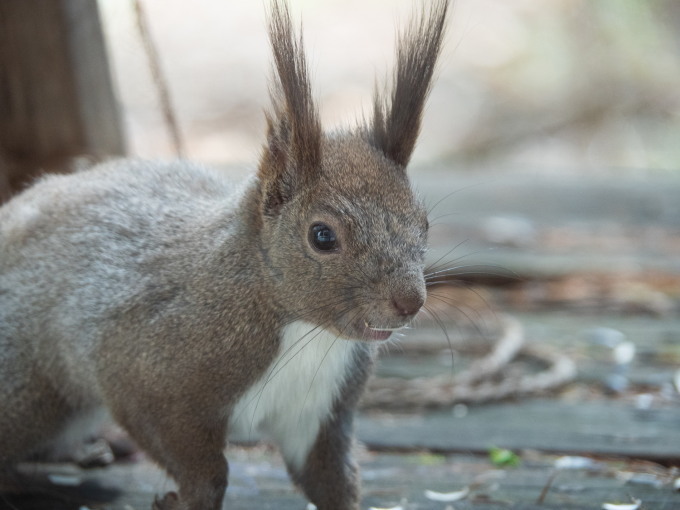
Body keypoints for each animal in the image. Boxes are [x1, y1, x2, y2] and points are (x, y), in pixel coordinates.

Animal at [0, 0, 448, 510]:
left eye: (424, 223)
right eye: (322, 236)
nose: (409, 302)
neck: (303, 330)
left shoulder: (317, 413)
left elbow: (333, 479)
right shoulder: (145, 373)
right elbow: (200, 466)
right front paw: (183, 498)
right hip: (27, 392)